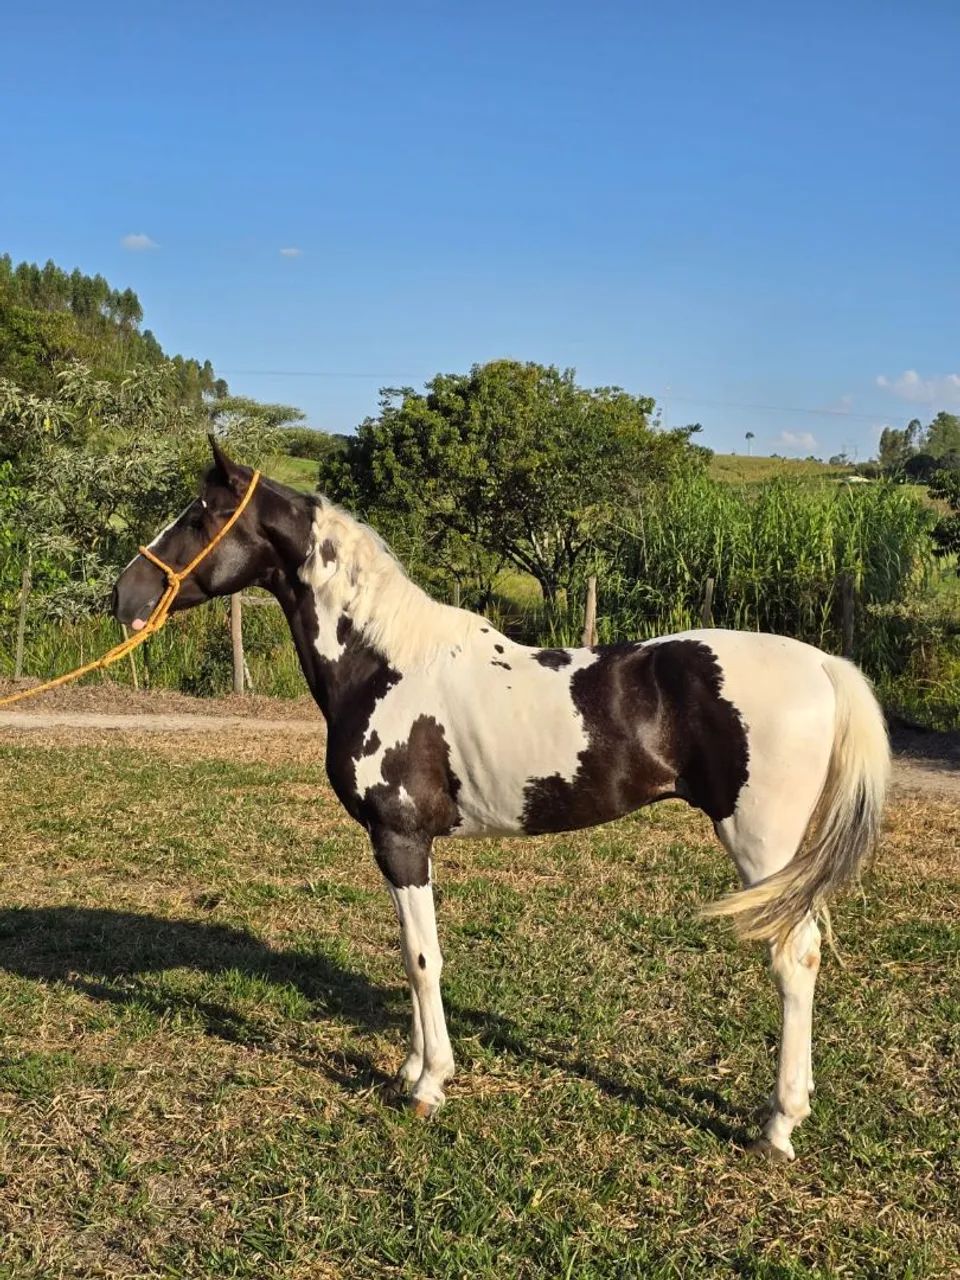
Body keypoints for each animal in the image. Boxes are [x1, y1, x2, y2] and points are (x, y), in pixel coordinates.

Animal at [113, 437, 890, 1161]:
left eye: (199, 514)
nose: (123, 596)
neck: (385, 665)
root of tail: (822, 664)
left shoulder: (400, 839)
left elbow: (421, 958)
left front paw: (429, 1085)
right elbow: (411, 952)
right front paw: (411, 1068)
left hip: (761, 846)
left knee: (795, 959)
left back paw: (777, 1126)